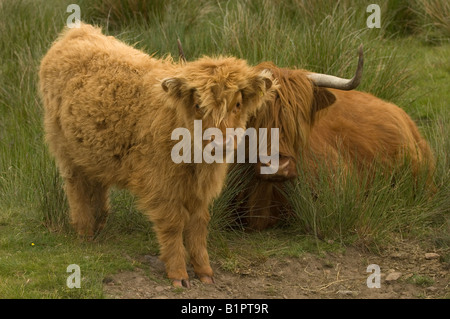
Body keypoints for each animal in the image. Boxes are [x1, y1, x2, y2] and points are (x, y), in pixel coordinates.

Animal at [39, 23, 274, 286]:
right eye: (198, 106)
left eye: (237, 104)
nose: (221, 142)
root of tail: (78, 31)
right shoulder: (161, 183)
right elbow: (173, 224)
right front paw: (179, 274)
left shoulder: (200, 189)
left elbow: (198, 224)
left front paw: (204, 271)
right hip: (64, 147)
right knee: (76, 187)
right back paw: (85, 231)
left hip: (93, 151)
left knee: (96, 184)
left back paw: (99, 223)